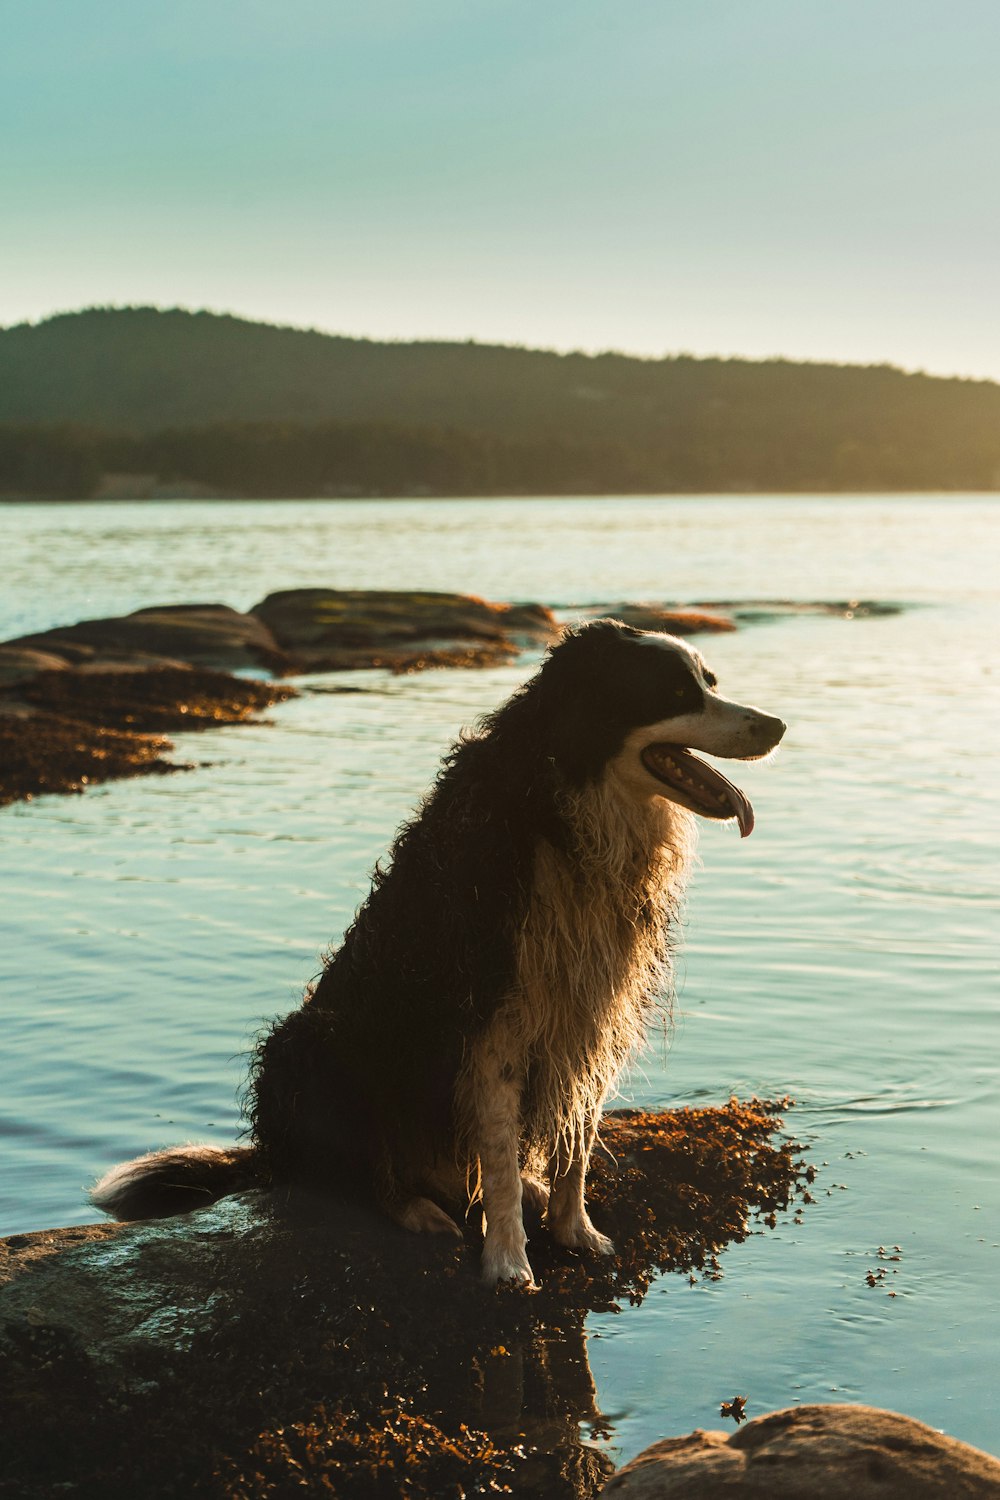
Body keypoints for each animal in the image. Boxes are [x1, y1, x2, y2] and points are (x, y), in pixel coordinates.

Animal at [91, 621, 779, 1290]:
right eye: (676, 693)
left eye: (709, 681)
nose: (776, 725)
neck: (569, 809)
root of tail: (269, 1156)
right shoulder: (493, 1019)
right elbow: (498, 1158)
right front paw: (508, 1262)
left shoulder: (591, 1012)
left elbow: (574, 1141)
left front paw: (574, 1232)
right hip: (315, 1045)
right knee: (353, 1174)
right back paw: (414, 1208)